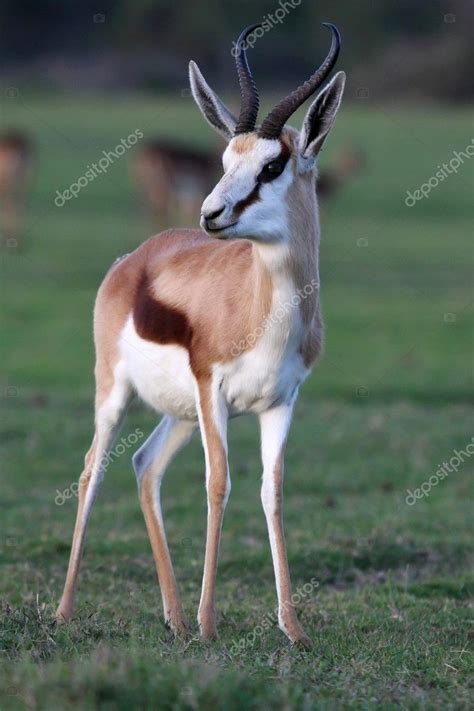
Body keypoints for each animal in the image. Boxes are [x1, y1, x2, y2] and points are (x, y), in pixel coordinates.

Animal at [57, 22, 346, 648]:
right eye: (224, 158)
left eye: (272, 166)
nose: (211, 214)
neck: (263, 310)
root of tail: (137, 257)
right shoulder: (213, 389)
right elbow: (219, 485)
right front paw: (211, 624)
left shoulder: (280, 403)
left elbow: (272, 492)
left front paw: (293, 629)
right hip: (117, 393)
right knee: (94, 468)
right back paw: (66, 612)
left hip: (181, 413)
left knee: (145, 467)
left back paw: (173, 617)